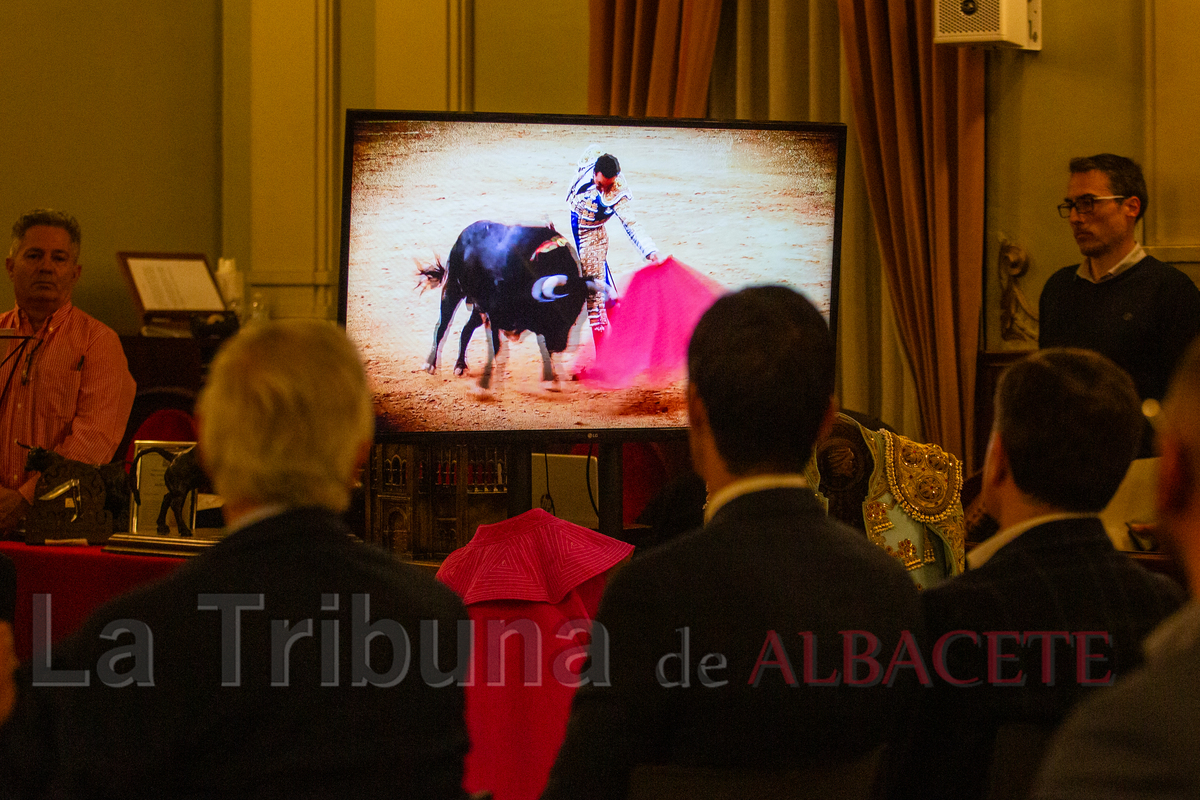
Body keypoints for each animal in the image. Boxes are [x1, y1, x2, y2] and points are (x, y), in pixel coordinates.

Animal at [420, 221, 597, 391]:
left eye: (572, 319)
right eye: (555, 313)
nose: (560, 346)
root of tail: (463, 235)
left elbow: (543, 349)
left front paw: (552, 381)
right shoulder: (495, 315)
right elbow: (499, 350)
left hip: (478, 308)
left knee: (466, 330)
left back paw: (460, 366)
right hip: (452, 290)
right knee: (442, 327)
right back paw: (431, 365)